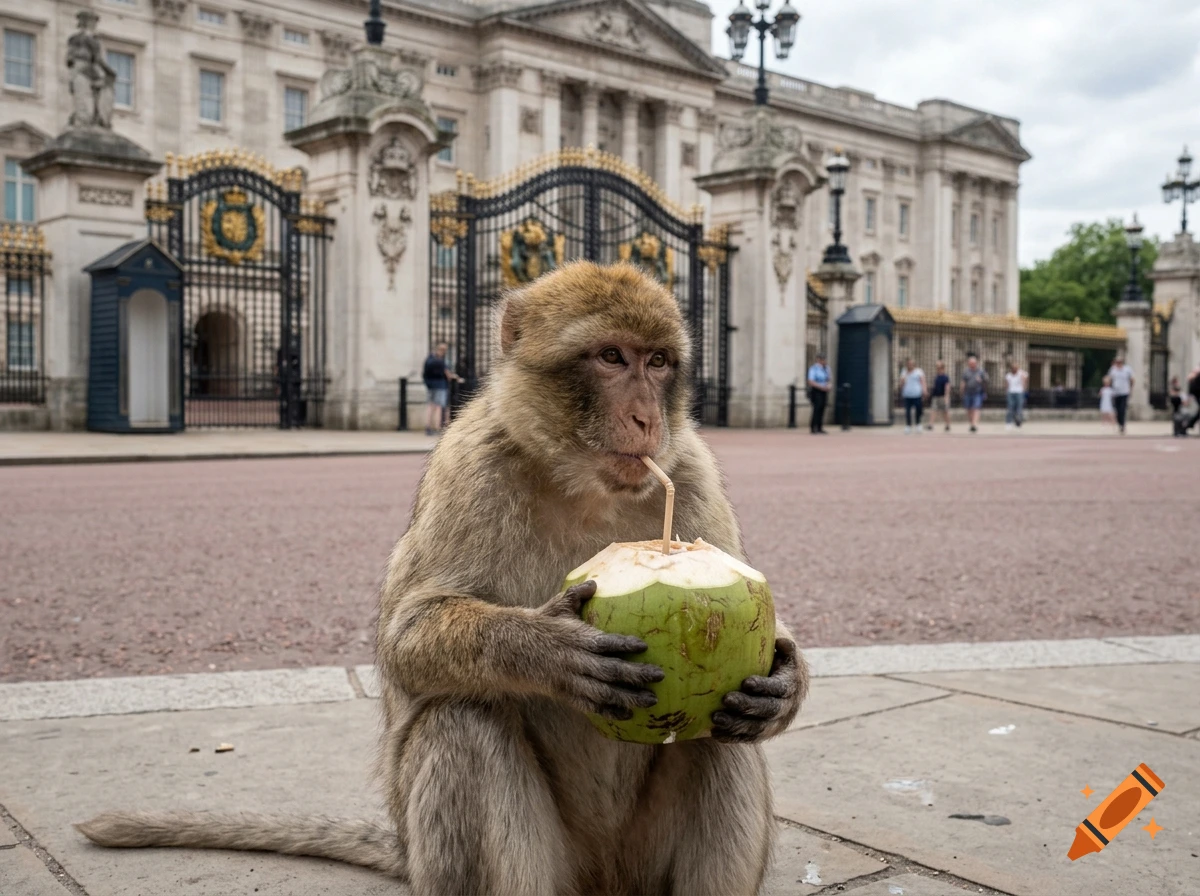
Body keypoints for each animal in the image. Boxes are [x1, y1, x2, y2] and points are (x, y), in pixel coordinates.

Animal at [77, 260, 808, 895]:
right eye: (610, 358)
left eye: (657, 363)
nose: (646, 419)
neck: (583, 484)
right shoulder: (472, 464)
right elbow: (409, 634)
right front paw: (543, 649)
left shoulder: (689, 470)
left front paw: (785, 681)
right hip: (507, 857)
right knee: (463, 717)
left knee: (720, 733)